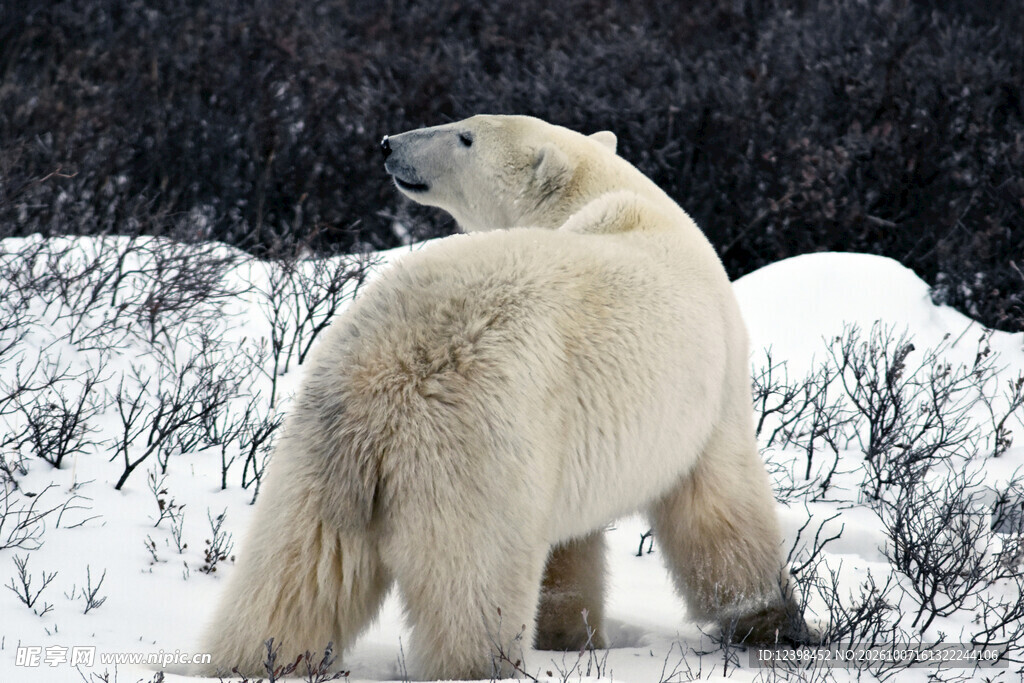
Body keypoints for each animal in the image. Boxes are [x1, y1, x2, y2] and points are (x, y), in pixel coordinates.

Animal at [200, 115, 809, 680]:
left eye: (465, 136)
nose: (389, 143)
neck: (603, 197)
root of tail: (385, 378)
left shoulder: (570, 439)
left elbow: (570, 551)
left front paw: (570, 636)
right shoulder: (713, 386)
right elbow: (721, 503)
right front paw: (775, 623)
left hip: (318, 448)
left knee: (295, 574)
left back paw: (248, 660)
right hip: (476, 455)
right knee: (474, 590)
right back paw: (483, 664)